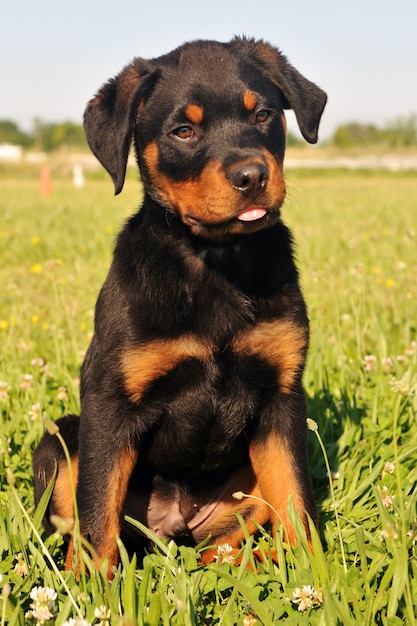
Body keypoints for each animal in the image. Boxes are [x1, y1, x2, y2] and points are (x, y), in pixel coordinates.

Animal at [33, 35, 324, 572]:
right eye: (183, 131)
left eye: (264, 115)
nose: (252, 176)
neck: (215, 259)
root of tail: (171, 526)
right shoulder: (109, 399)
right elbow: (96, 508)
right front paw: (91, 584)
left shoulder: (282, 396)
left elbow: (297, 496)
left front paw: (318, 571)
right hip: (60, 441)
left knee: (224, 548)